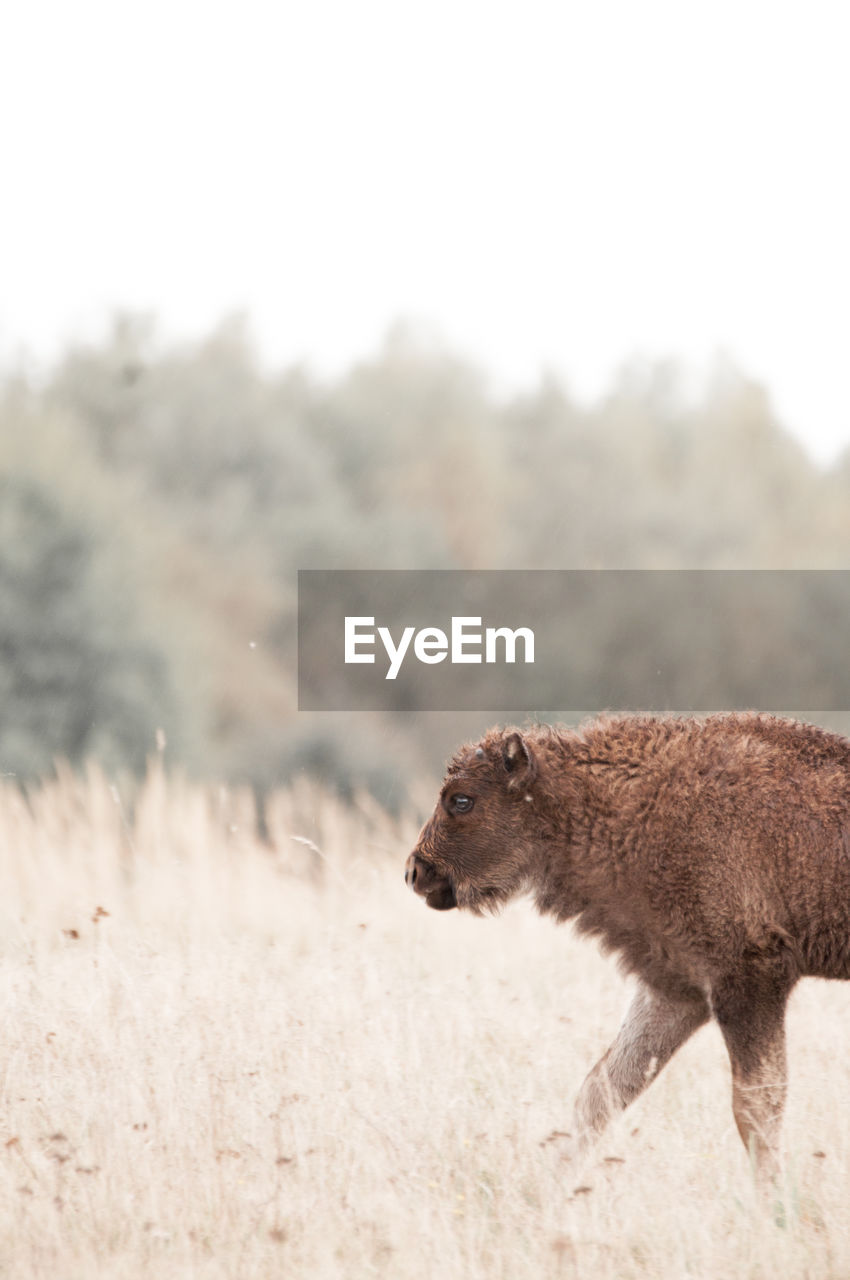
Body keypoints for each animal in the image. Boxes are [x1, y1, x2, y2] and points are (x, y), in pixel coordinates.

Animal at [401, 711, 850, 1177]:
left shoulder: (749, 981)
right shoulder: (676, 989)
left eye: (461, 800)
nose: (416, 872)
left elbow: (757, 1109)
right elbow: (602, 1091)